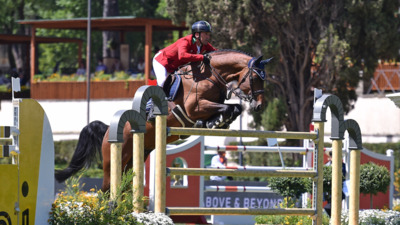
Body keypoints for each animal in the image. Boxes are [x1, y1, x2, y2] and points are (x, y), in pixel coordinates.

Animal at [55, 49, 272, 192]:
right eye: (256, 78)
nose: (260, 106)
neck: (210, 76)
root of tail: (109, 129)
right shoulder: (194, 108)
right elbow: (227, 107)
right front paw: (214, 121)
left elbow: (234, 108)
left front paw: (216, 122)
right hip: (113, 160)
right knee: (107, 189)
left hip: (134, 159)